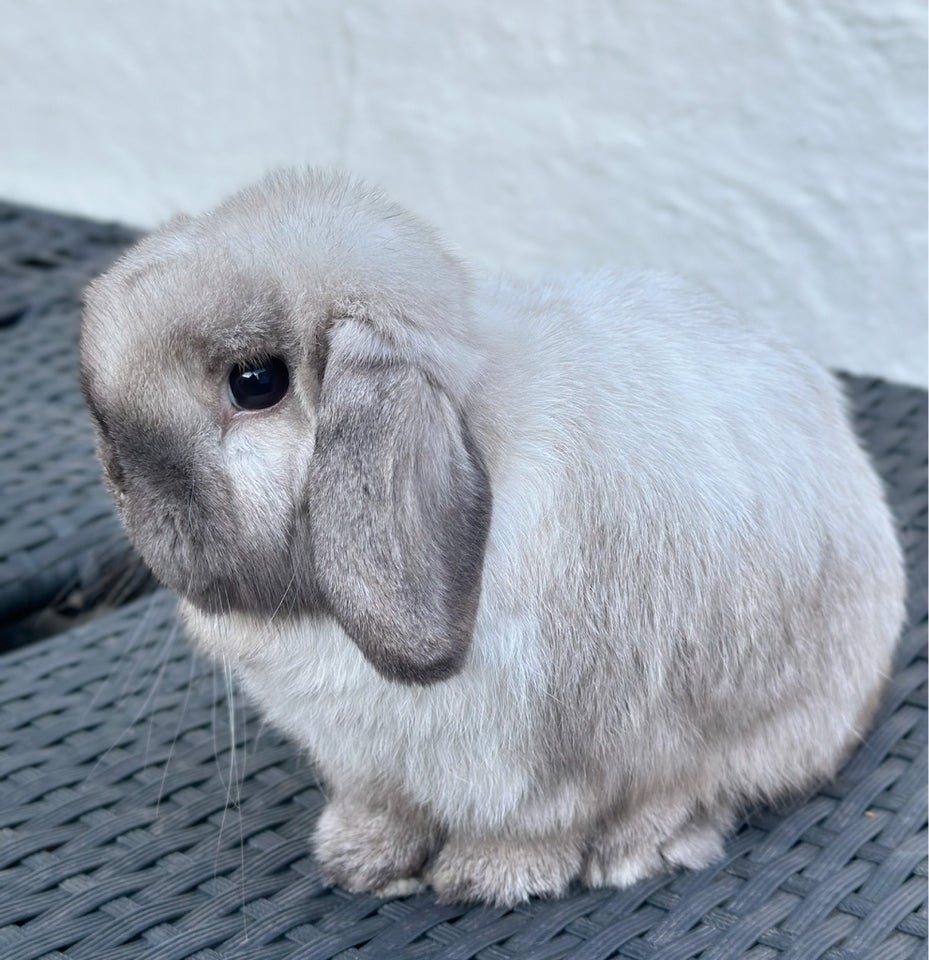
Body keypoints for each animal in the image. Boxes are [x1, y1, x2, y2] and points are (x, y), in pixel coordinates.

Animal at [76, 167, 904, 908]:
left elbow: (533, 827)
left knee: (703, 784)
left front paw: (487, 880)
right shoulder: (367, 766)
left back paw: (636, 849)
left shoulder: (555, 765)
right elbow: (381, 813)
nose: (116, 470)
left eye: (255, 382)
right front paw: (358, 863)